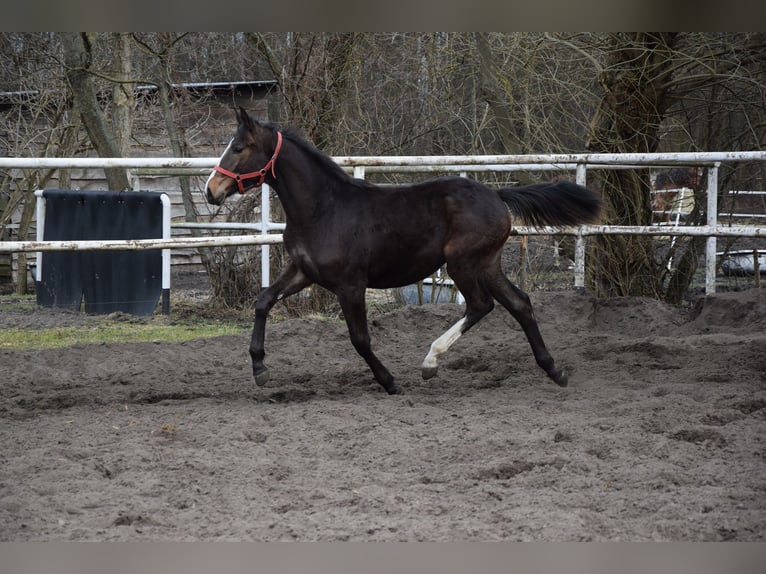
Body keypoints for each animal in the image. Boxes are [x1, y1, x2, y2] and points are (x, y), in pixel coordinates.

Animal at [205, 107, 603, 395]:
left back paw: (430, 363)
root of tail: (497, 195)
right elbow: (263, 301)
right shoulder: (303, 272)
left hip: (462, 263)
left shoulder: (350, 285)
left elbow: (360, 339)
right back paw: (555, 370)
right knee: (519, 303)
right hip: (487, 263)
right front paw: (260, 369)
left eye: (238, 148)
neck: (324, 209)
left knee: (481, 305)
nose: (211, 191)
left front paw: (390, 382)